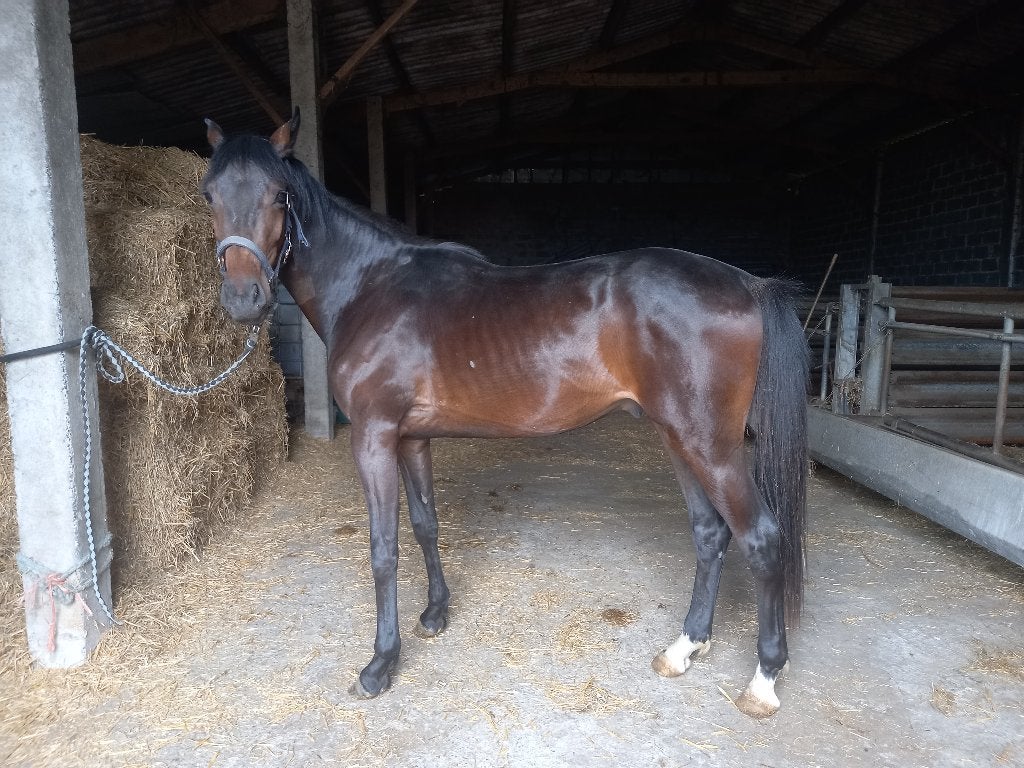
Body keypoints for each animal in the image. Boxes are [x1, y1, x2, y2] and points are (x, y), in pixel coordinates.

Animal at [201, 109, 809, 719]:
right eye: (209, 195)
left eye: (279, 195)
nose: (244, 299)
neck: (370, 288)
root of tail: (749, 284)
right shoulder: (410, 438)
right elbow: (425, 524)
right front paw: (436, 613)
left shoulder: (373, 437)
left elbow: (384, 549)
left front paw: (380, 663)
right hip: (678, 438)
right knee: (710, 533)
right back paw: (684, 648)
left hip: (712, 447)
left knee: (760, 538)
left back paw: (763, 679)